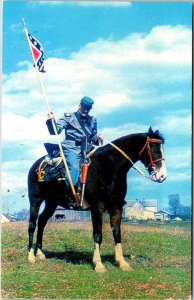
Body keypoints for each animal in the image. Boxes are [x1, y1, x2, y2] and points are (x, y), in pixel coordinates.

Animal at [27, 126, 167, 272]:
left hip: (52, 203)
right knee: (32, 224)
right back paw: (31, 256)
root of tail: (36, 165)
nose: (162, 176)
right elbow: (98, 235)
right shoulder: (97, 207)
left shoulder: (116, 207)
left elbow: (117, 234)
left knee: (42, 221)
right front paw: (98, 264)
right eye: (154, 148)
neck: (110, 166)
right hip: (35, 201)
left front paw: (122, 262)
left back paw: (40, 254)